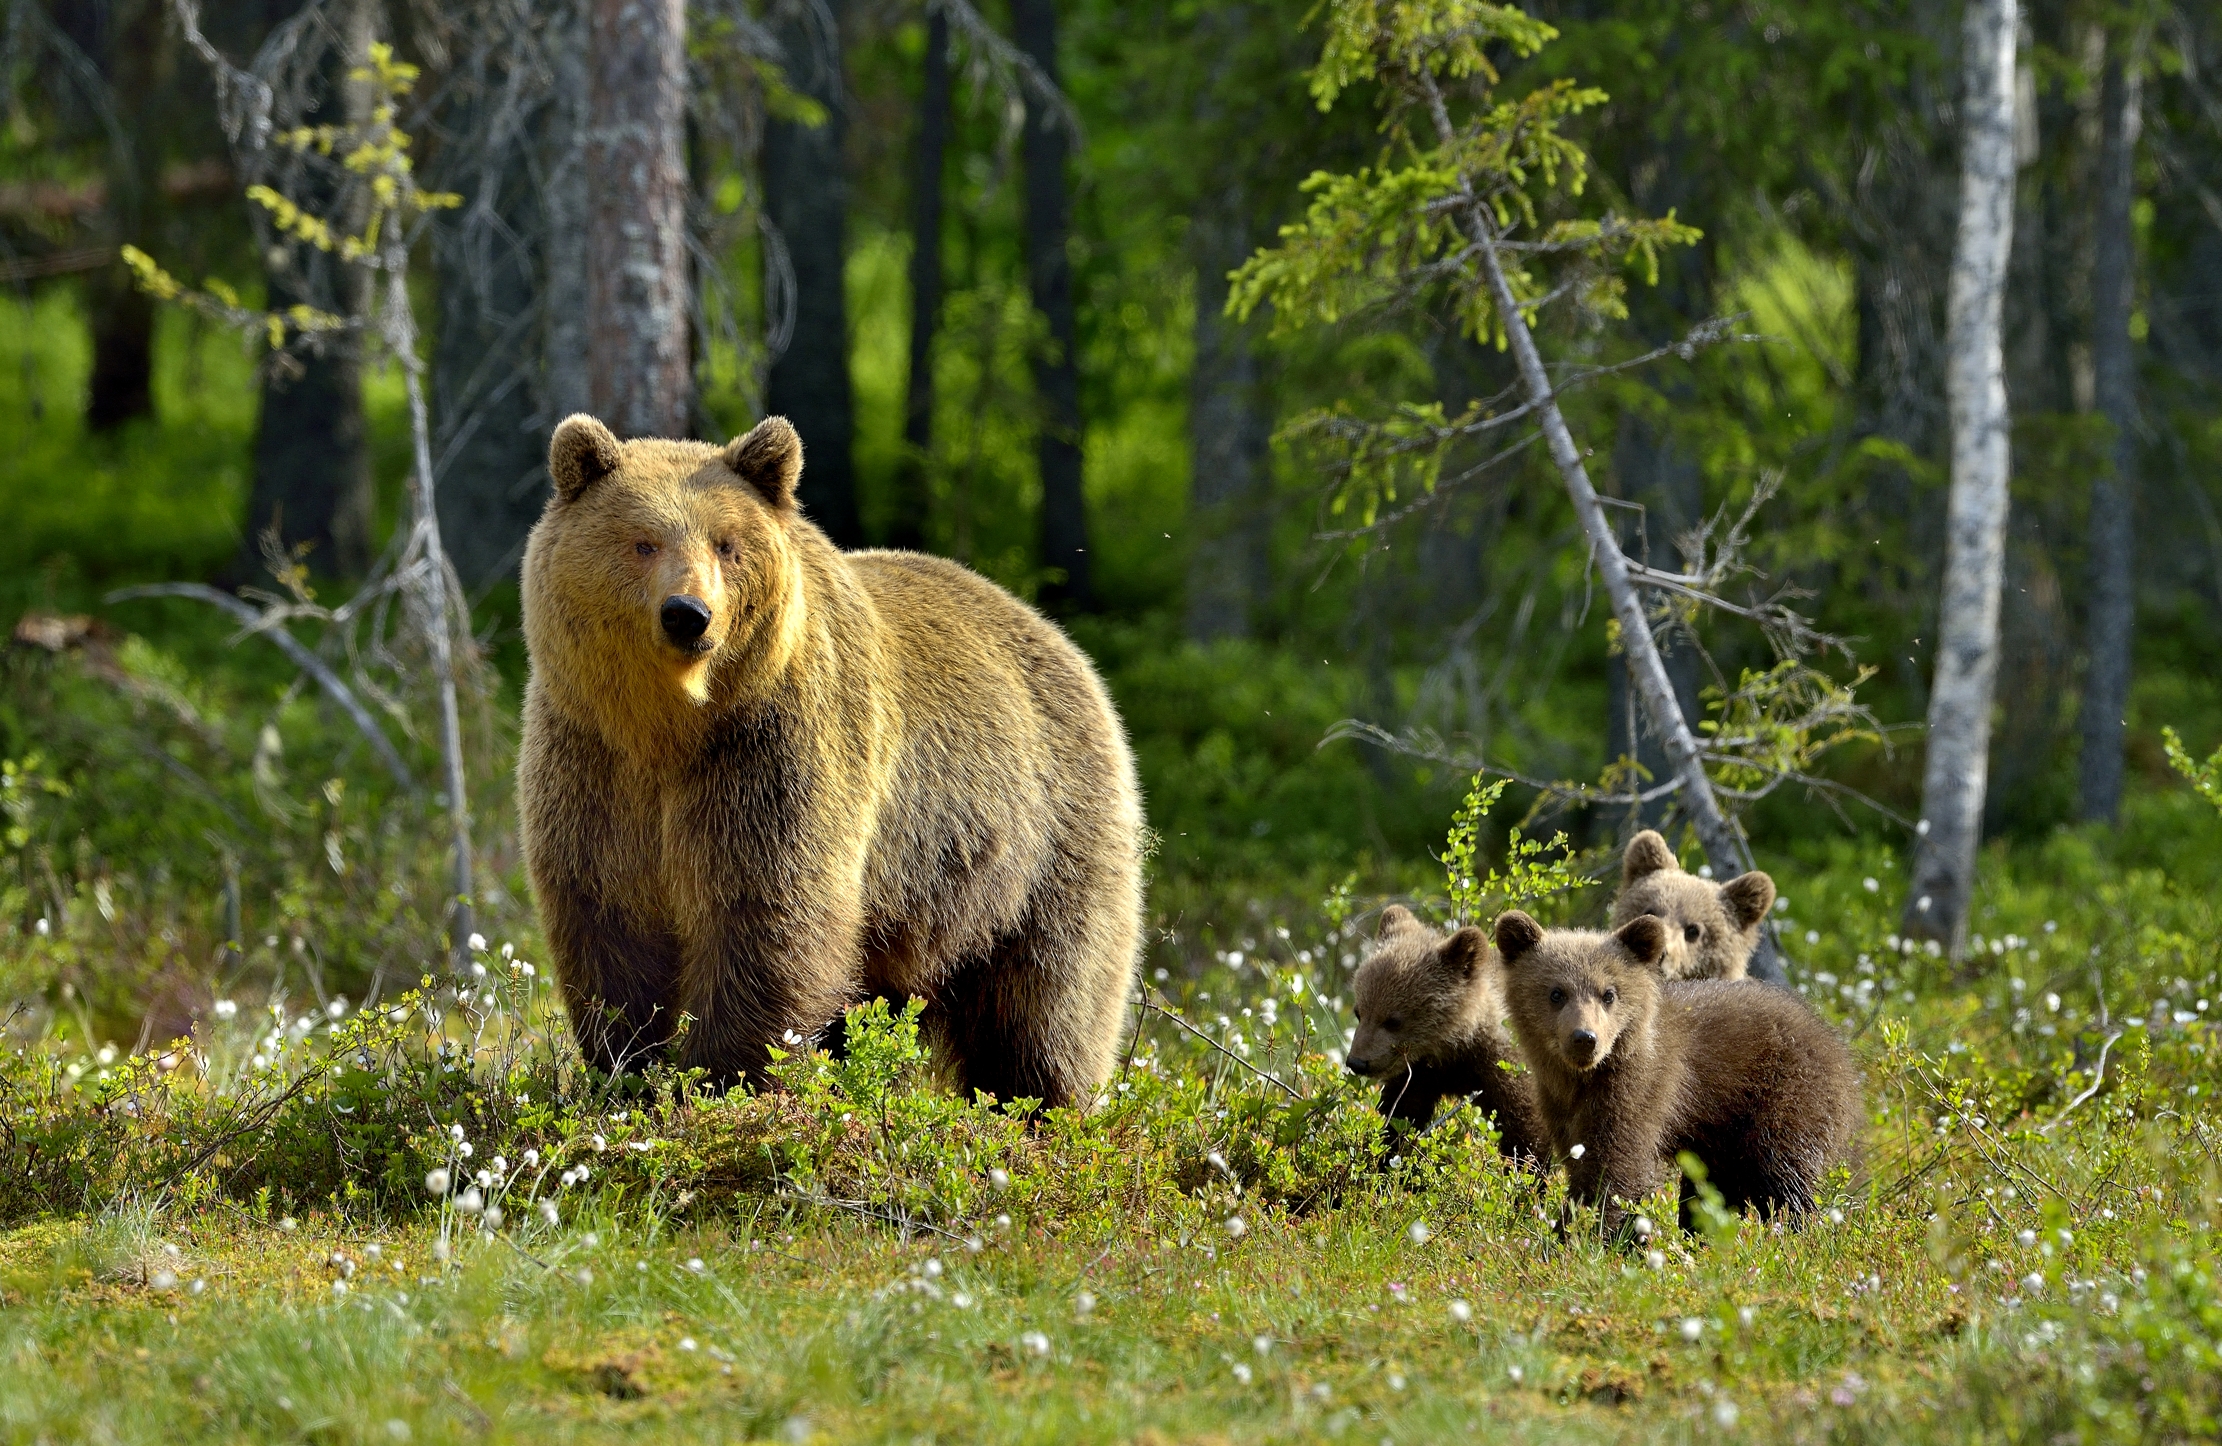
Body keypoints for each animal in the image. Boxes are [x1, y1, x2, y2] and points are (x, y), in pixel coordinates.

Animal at [517, 413, 1144, 1110]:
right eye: (643, 542)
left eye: (727, 544)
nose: (688, 614)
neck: (670, 727)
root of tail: (1059, 639)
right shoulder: (592, 762)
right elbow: (608, 920)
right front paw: (627, 1067)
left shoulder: (769, 755)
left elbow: (768, 910)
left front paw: (723, 1077)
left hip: (1039, 849)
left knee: (1048, 999)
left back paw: (1047, 1104)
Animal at [1344, 905, 1544, 1163]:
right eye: (1359, 1012)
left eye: (1393, 1020)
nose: (1357, 1061)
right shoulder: (1420, 1075)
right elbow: (1400, 1115)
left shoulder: (1507, 1069)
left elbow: (1526, 1129)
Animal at [1493, 910, 1859, 1234]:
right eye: (1556, 993)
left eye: (1608, 993)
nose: (1584, 1038)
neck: (1582, 1078)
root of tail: (1836, 1042)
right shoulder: (1559, 1104)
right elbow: (1582, 1157)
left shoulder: (1640, 1090)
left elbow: (1614, 1168)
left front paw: (1574, 1236)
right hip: (1722, 1133)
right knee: (1715, 1189)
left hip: (1785, 1097)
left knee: (1781, 1176)